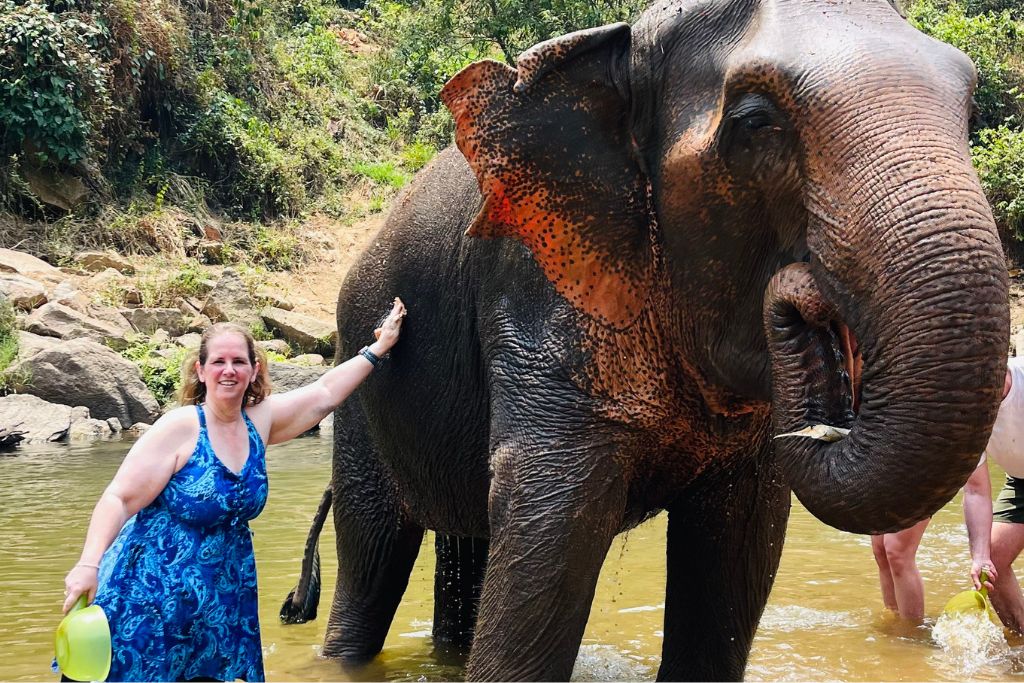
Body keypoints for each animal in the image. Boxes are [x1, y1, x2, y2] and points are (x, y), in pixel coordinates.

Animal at [284, 0, 1011, 679]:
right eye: (756, 122)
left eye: (971, 106)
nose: (803, 294)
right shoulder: (538, 290)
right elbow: (554, 516)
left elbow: (739, 541)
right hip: (359, 379)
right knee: (374, 549)